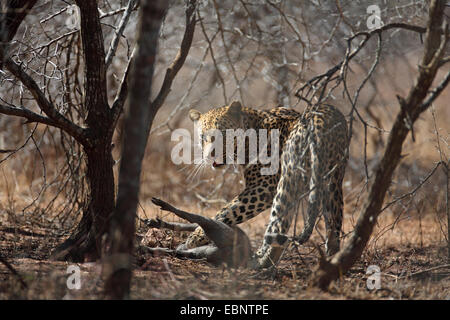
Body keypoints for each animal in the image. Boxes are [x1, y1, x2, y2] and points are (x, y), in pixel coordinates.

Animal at [183, 100, 348, 268]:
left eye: (223, 133)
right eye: (202, 137)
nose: (211, 154)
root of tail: (318, 121)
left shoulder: (263, 188)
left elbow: (225, 212)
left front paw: (193, 238)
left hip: (287, 179)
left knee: (278, 225)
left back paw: (259, 261)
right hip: (333, 180)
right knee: (333, 225)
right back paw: (332, 263)